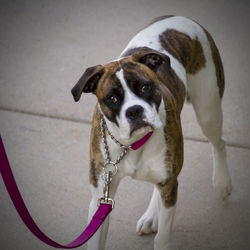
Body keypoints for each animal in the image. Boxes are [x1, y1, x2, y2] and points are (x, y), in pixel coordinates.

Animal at [70, 15, 232, 250]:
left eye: (145, 87)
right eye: (112, 98)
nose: (134, 110)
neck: (131, 145)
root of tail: (180, 17)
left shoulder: (170, 187)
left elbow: (163, 239)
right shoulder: (100, 197)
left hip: (208, 108)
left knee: (218, 143)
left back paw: (222, 183)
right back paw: (151, 216)